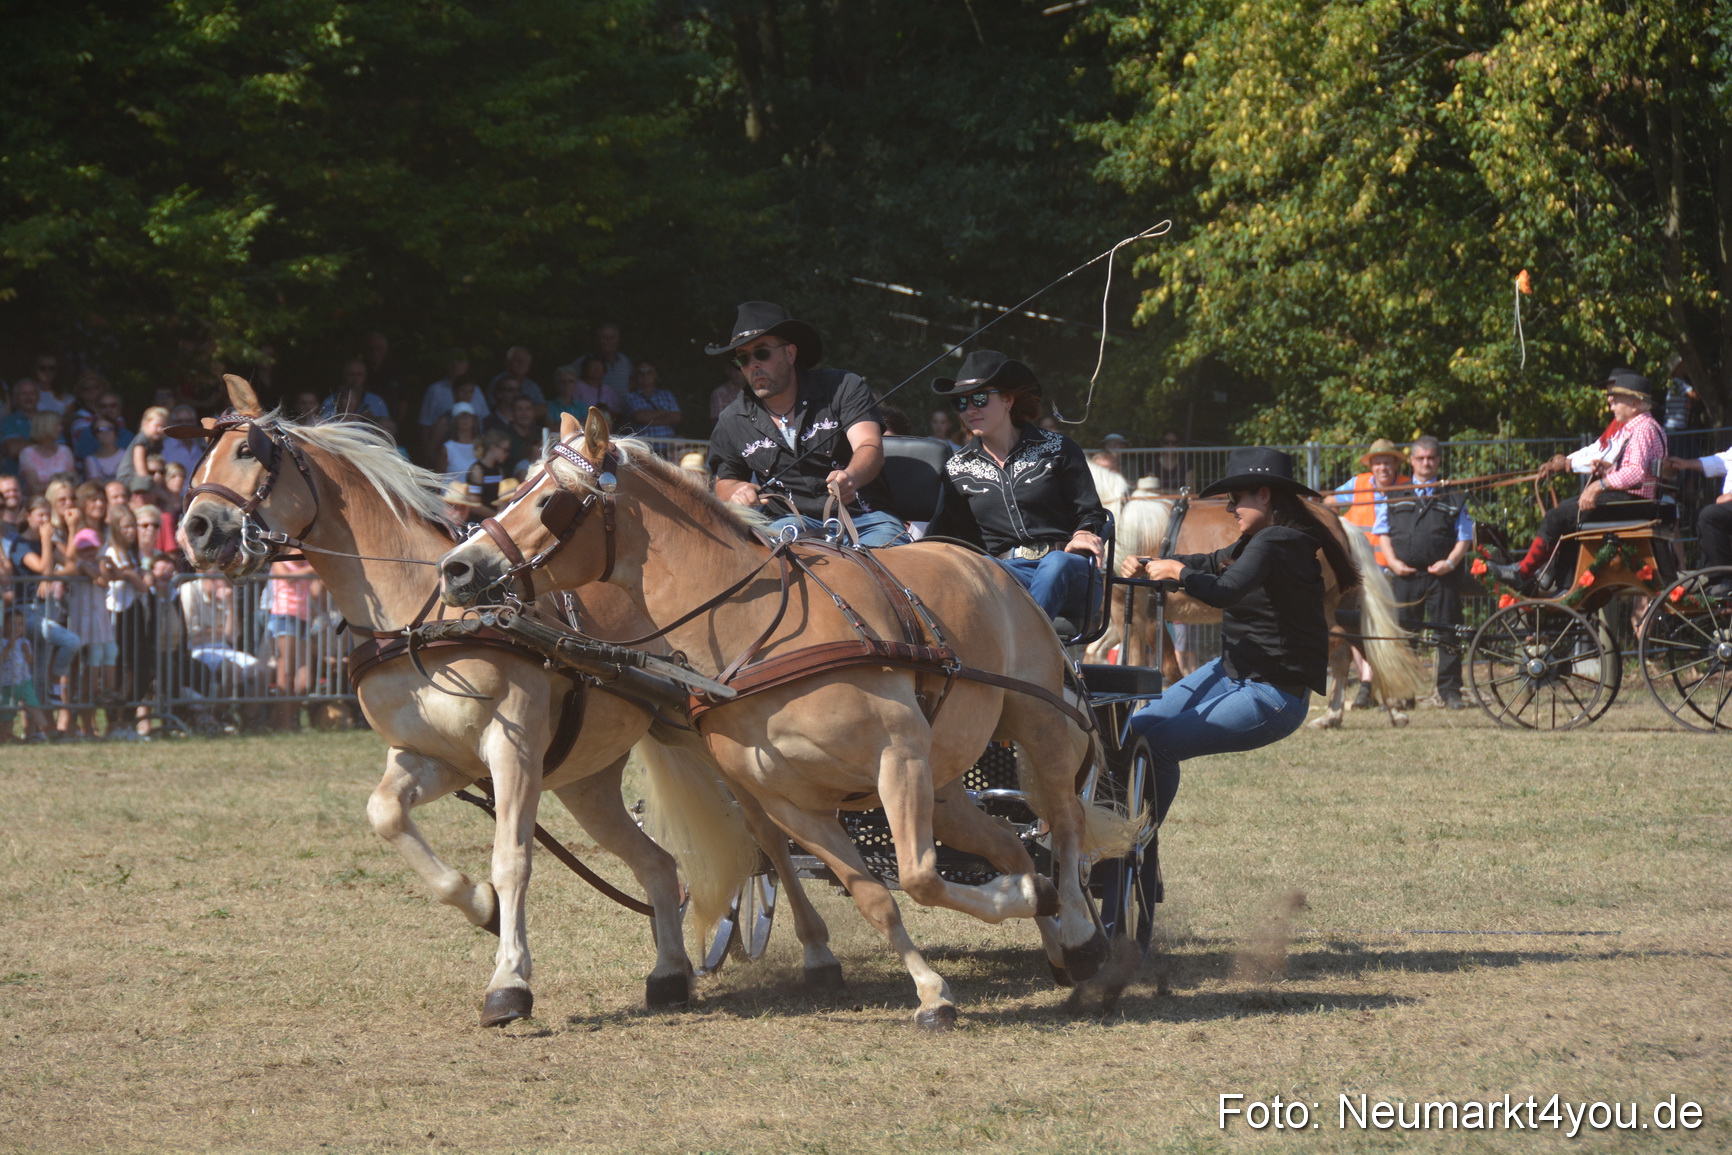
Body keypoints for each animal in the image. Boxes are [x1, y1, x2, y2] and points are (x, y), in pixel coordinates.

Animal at [178, 376, 841, 1027]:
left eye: (247, 452)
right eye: (202, 458)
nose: (197, 530)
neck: (421, 614)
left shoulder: (511, 746)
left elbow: (512, 859)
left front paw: (509, 983)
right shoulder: (431, 756)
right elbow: (386, 814)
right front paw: (480, 905)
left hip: (717, 741)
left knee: (769, 837)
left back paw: (817, 952)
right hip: (588, 782)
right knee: (659, 863)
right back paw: (670, 974)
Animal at [437, 410, 1141, 1030]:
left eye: (551, 500)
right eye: (514, 488)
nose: (457, 567)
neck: (757, 634)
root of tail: (982, 558)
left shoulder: (897, 757)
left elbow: (919, 876)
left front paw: (1021, 913)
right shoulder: (790, 800)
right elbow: (876, 893)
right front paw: (933, 993)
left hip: (1038, 723)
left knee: (1064, 827)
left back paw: (1081, 934)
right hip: (943, 785)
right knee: (1009, 844)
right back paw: (1051, 933)